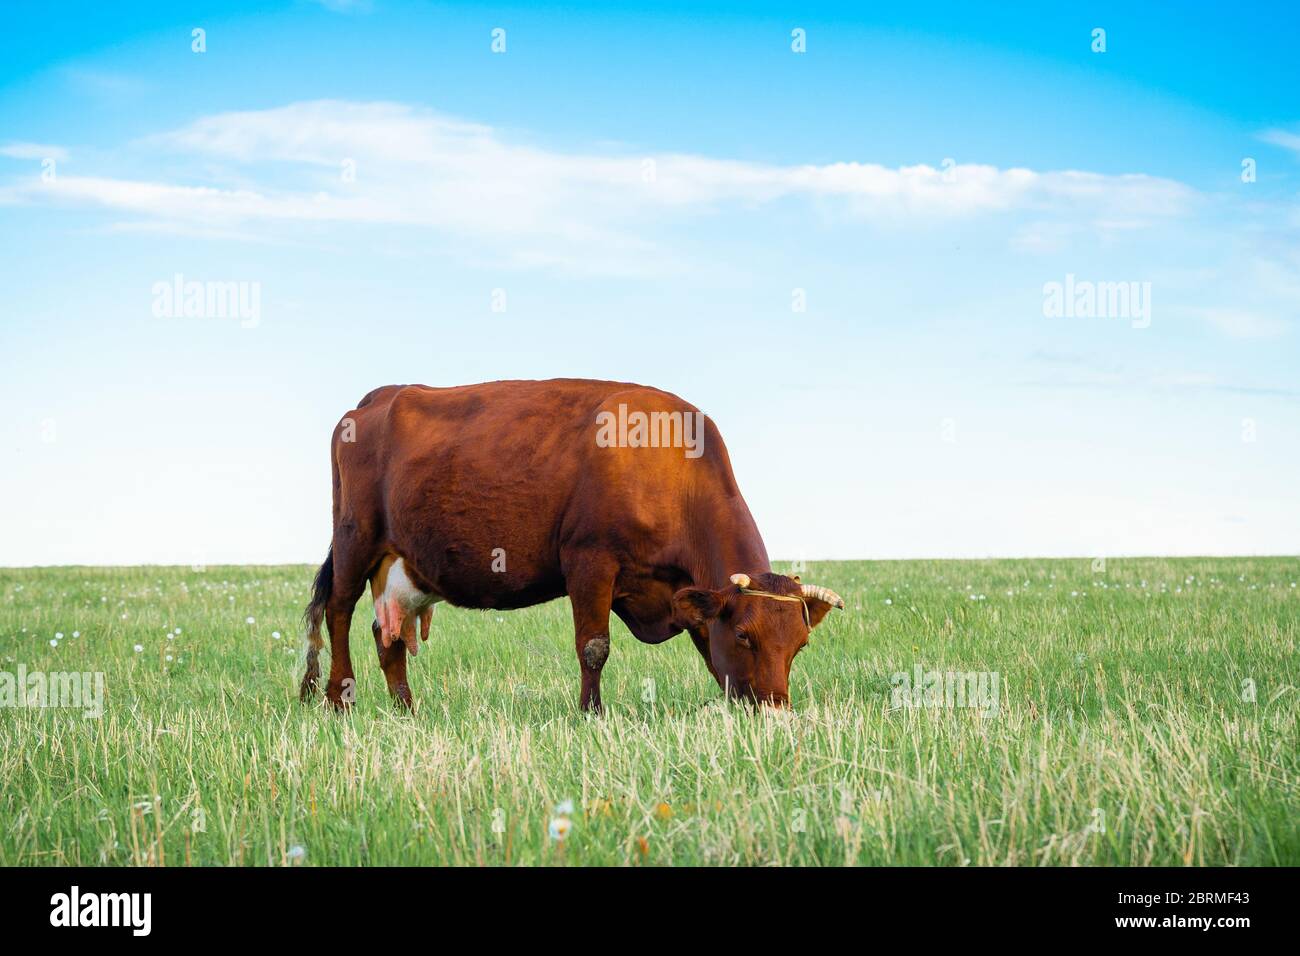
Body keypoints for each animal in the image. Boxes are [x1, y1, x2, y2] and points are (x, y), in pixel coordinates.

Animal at [298, 379, 844, 712]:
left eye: (800, 644)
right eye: (746, 636)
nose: (776, 712)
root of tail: (378, 397)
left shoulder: (684, 593)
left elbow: (703, 645)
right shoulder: (589, 559)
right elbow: (594, 647)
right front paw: (591, 713)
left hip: (400, 565)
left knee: (386, 634)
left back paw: (407, 710)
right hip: (354, 540)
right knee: (339, 613)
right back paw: (339, 698)